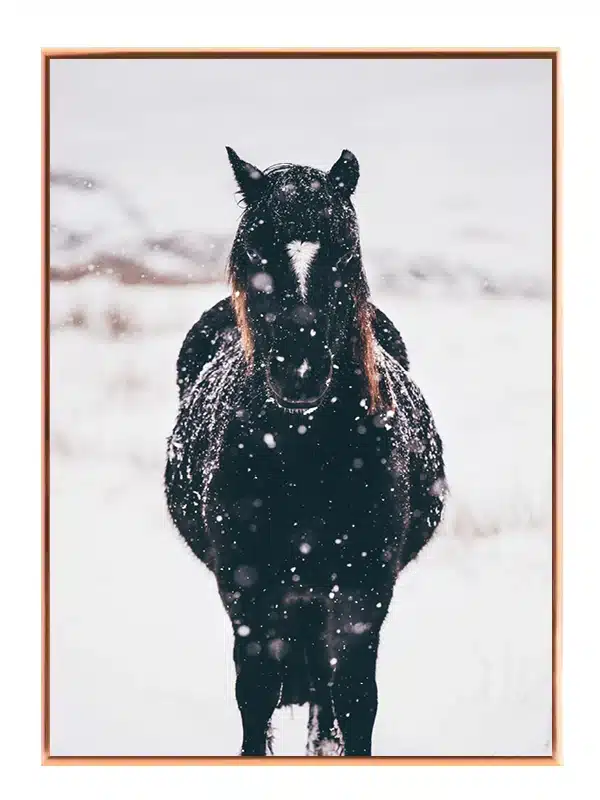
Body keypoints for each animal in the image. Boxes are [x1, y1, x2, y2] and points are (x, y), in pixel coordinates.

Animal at [164, 148, 447, 756]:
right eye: (254, 249)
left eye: (344, 250)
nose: (299, 371)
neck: (304, 459)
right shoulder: (248, 591)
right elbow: (256, 695)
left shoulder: (364, 591)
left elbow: (356, 698)